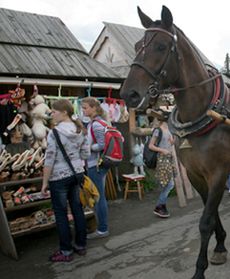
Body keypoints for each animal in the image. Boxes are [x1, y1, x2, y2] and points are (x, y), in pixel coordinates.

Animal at [119, 4, 230, 279]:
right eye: (137, 45)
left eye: (160, 46)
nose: (128, 94)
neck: (204, 111)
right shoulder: (196, 174)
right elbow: (211, 215)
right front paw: (220, 246)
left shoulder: (219, 172)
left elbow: (204, 222)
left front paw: (199, 269)